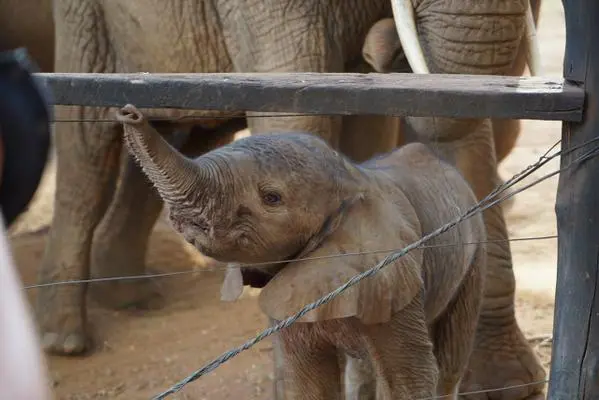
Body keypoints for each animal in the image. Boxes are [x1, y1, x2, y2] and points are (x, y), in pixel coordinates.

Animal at [118, 104, 488, 400]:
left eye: (271, 198)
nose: (129, 113)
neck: (352, 177)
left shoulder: (394, 271)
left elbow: (408, 379)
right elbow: (308, 382)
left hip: (474, 250)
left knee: (451, 358)